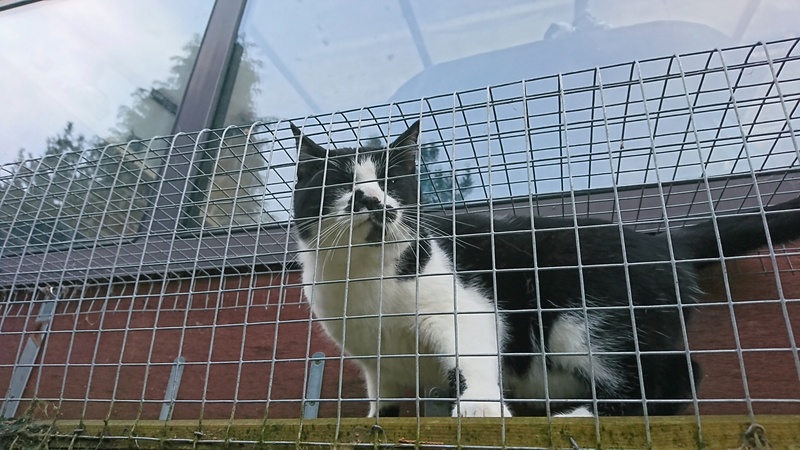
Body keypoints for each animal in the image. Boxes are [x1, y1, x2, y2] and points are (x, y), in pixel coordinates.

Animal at [290, 120, 800, 418]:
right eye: (340, 185)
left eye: (392, 182)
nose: (372, 200)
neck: (366, 278)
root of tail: (661, 240)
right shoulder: (377, 363)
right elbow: (385, 400)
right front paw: (381, 419)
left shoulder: (464, 305)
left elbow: (475, 349)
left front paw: (479, 405)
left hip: (584, 321)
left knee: (673, 377)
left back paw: (579, 415)